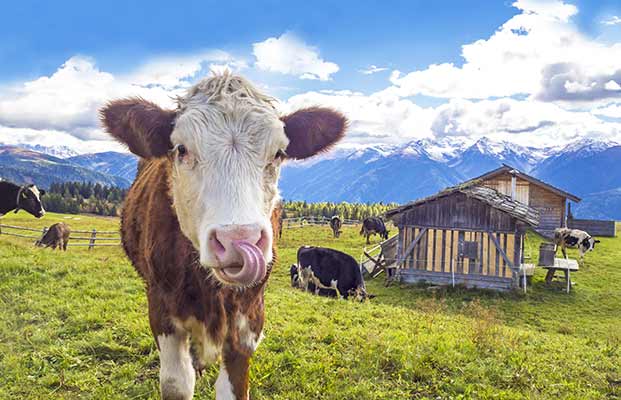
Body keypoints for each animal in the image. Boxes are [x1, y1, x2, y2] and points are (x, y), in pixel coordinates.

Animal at [99, 72, 346, 400]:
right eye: (181, 149)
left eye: (279, 153)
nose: (238, 242)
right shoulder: (161, 308)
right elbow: (177, 383)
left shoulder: (249, 319)